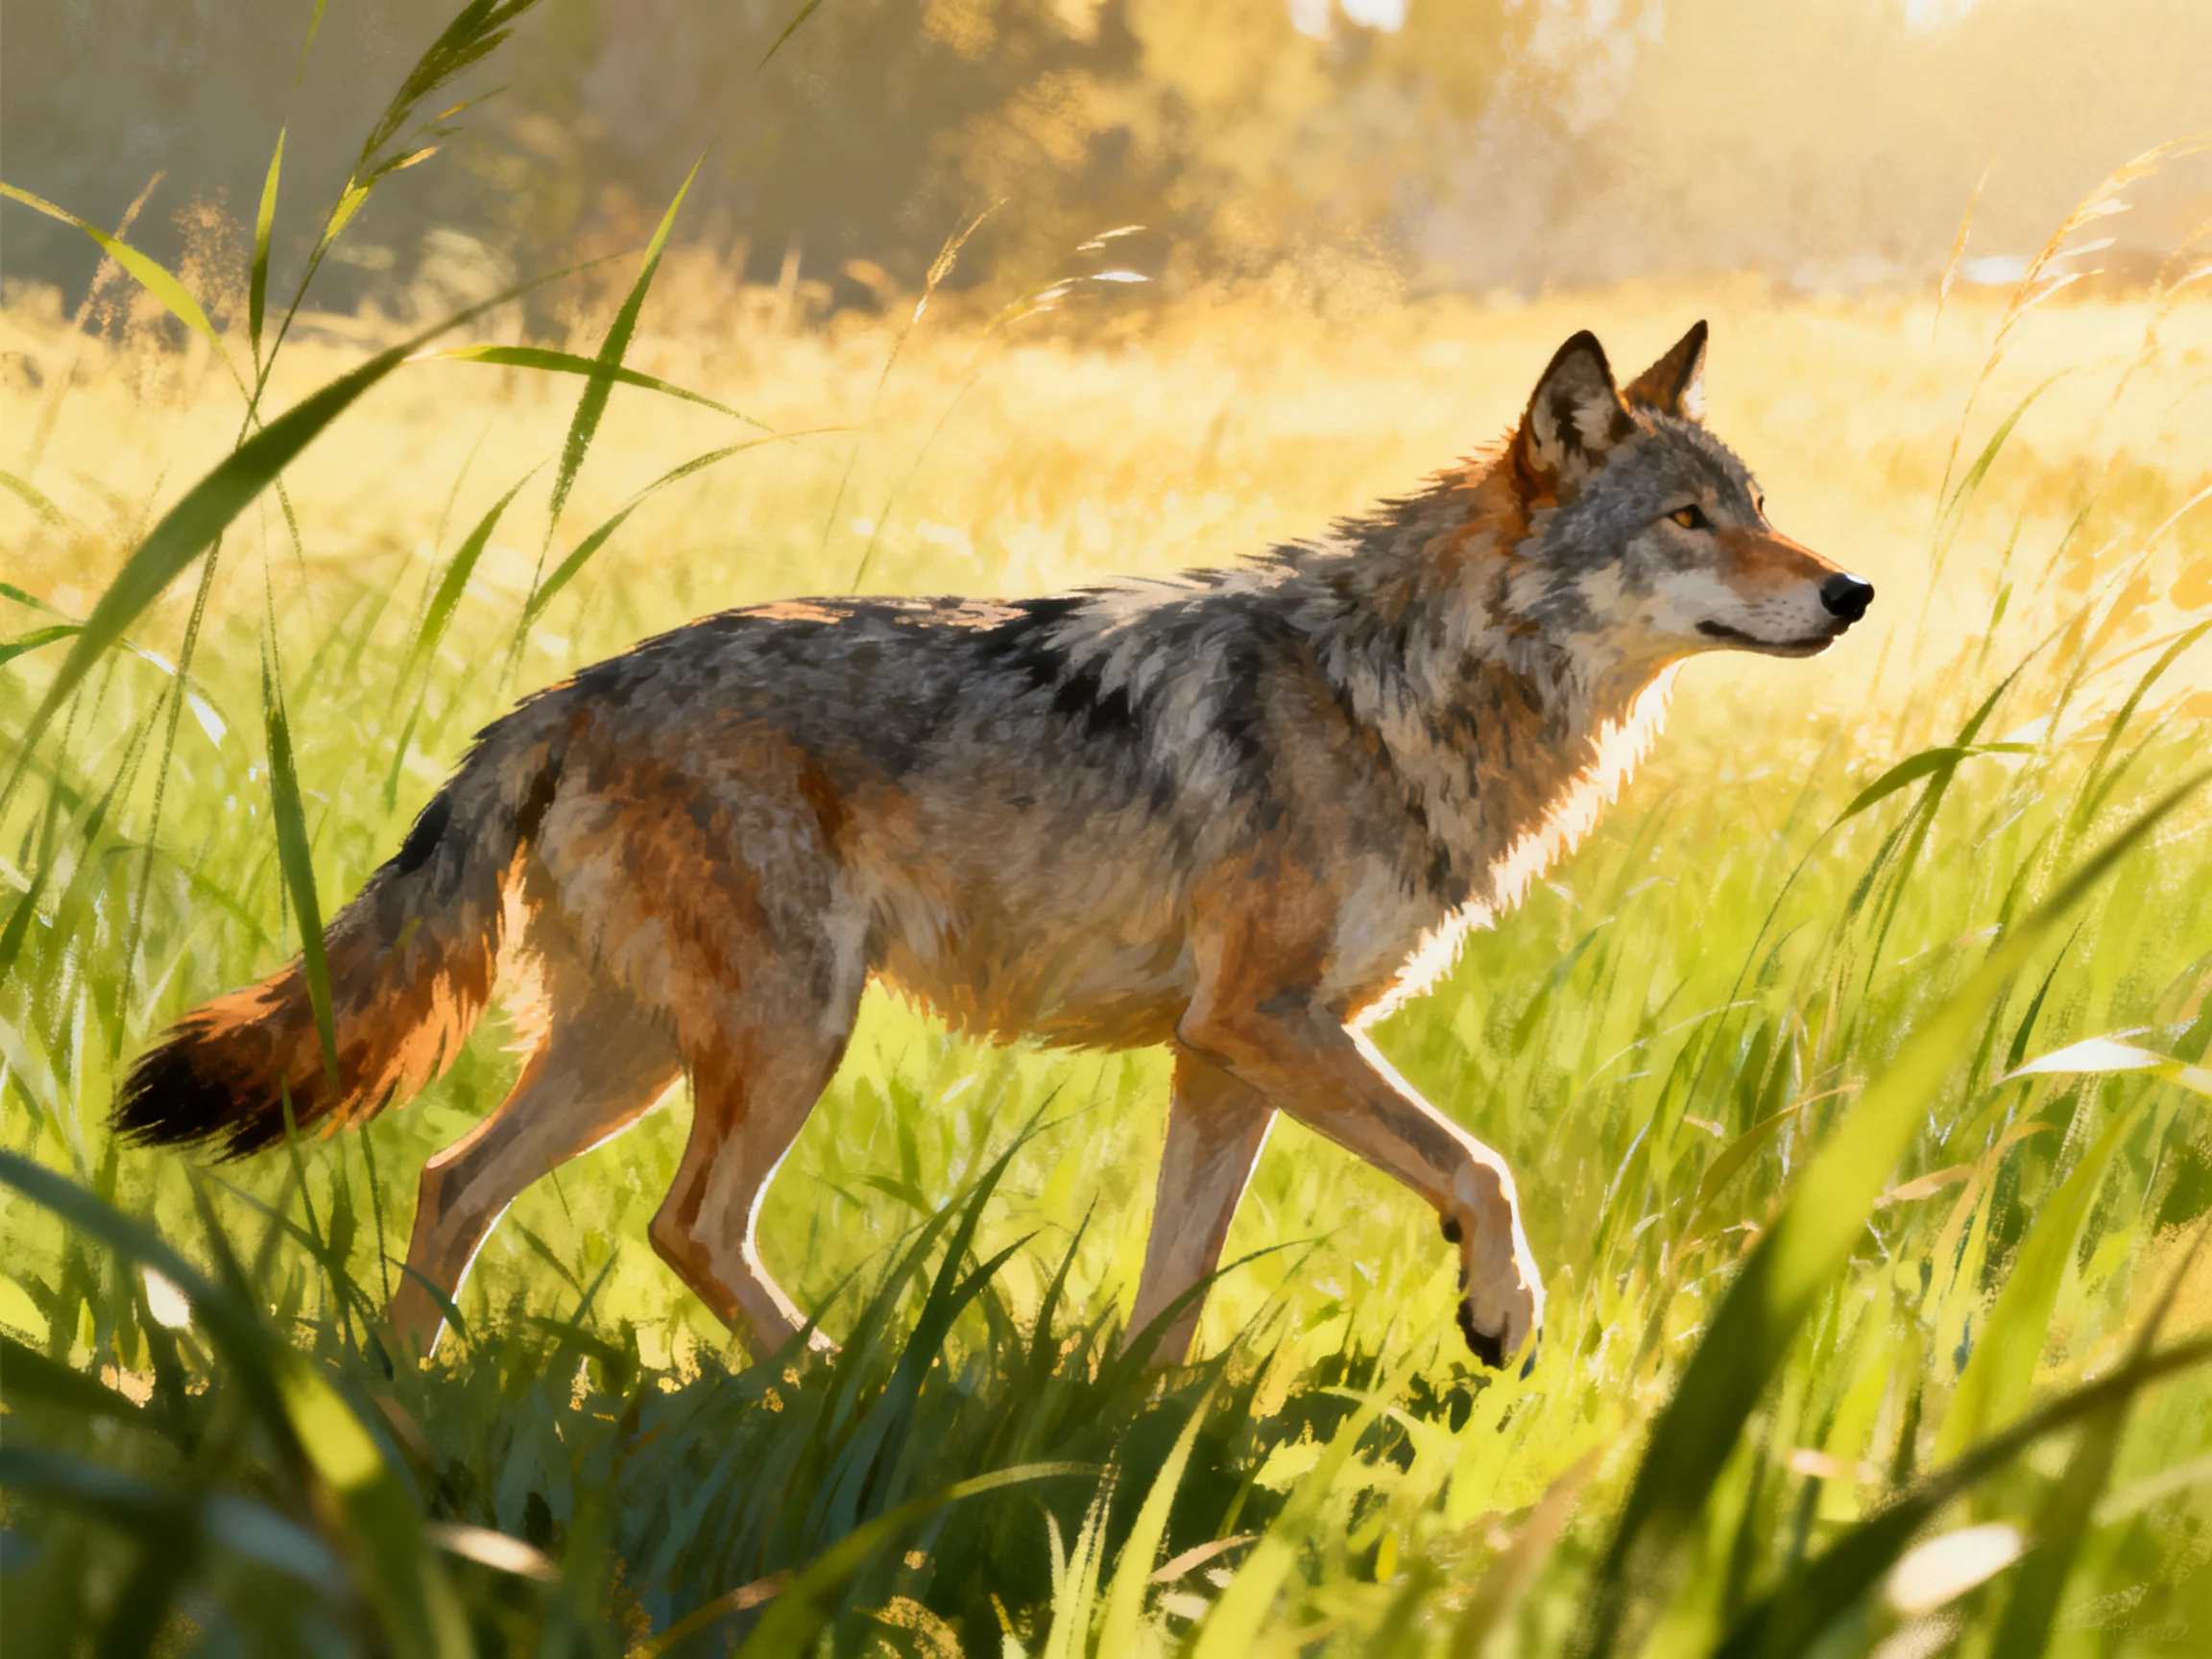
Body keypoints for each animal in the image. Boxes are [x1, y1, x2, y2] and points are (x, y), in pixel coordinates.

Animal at [118, 322, 1872, 1368]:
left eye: (1757, 505)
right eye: (1686, 522)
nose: (1851, 589)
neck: (1402, 689)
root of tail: (573, 687)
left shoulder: (1223, 1057)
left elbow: (1170, 1299)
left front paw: (1129, 1465)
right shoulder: (1264, 1020)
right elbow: (1481, 1165)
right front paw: (1502, 1308)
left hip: (639, 1052)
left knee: (450, 1182)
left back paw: (393, 1416)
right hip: (781, 1033)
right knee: (682, 1224)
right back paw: (818, 1390)